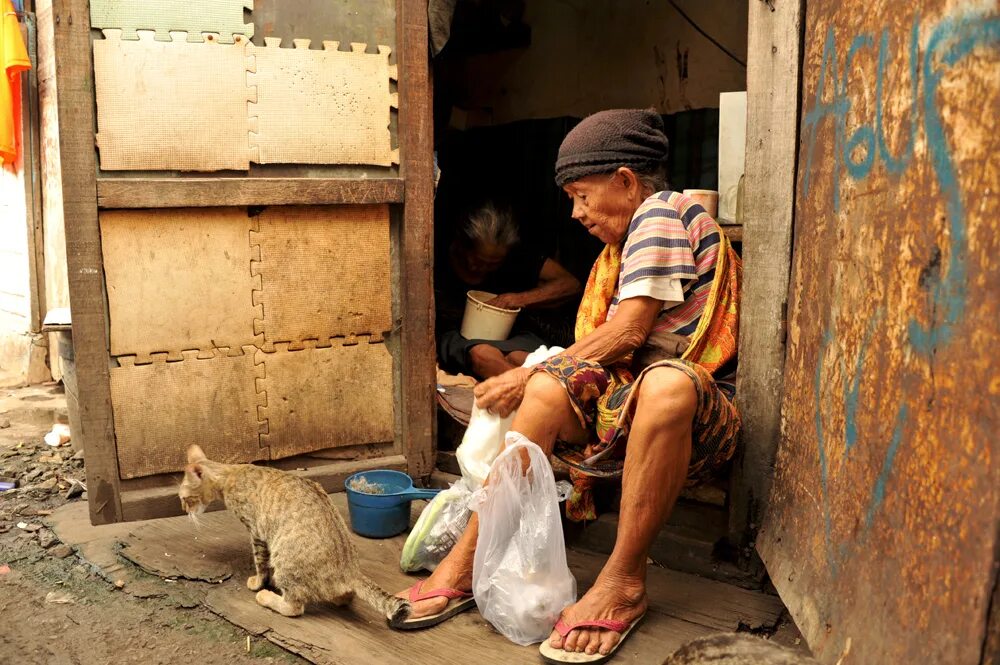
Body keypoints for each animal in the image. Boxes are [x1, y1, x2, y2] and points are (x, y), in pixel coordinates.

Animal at [178, 444, 408, 624]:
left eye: (185, 498)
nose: (183, 509)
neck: (229, 474)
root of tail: (350, 571)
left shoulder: (256, 532)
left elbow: (260, 564)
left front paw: (258, 582)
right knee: (345, 596)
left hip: (285, 563)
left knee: (294, 607)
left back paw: (266, 597)